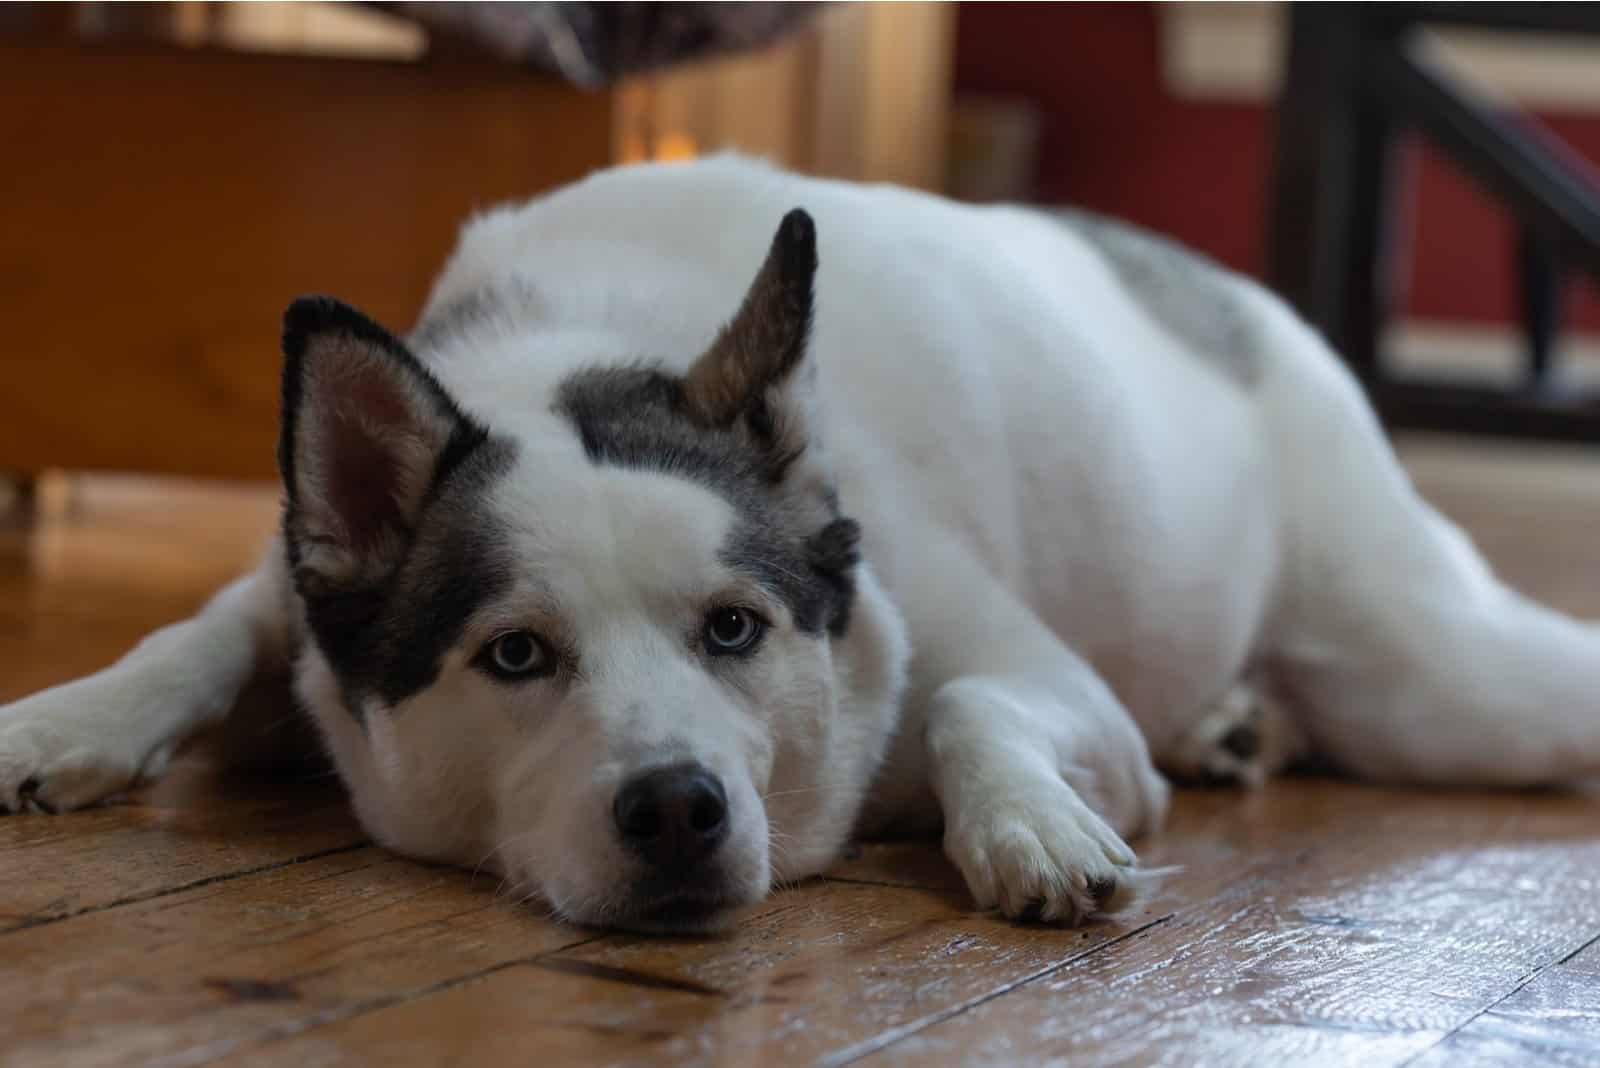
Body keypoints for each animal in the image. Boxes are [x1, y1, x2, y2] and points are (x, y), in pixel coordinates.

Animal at [3, 154, 1600, 927]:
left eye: (734, 627)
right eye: (514, 656)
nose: (676, 812)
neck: (580, 352)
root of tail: (1228, 292)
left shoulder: (1056, 689)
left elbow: (970, 701)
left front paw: (1027, 825)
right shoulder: (305, 593)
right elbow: (207, 631)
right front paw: (66, 720)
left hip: (1430, 678)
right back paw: (1233, 724)